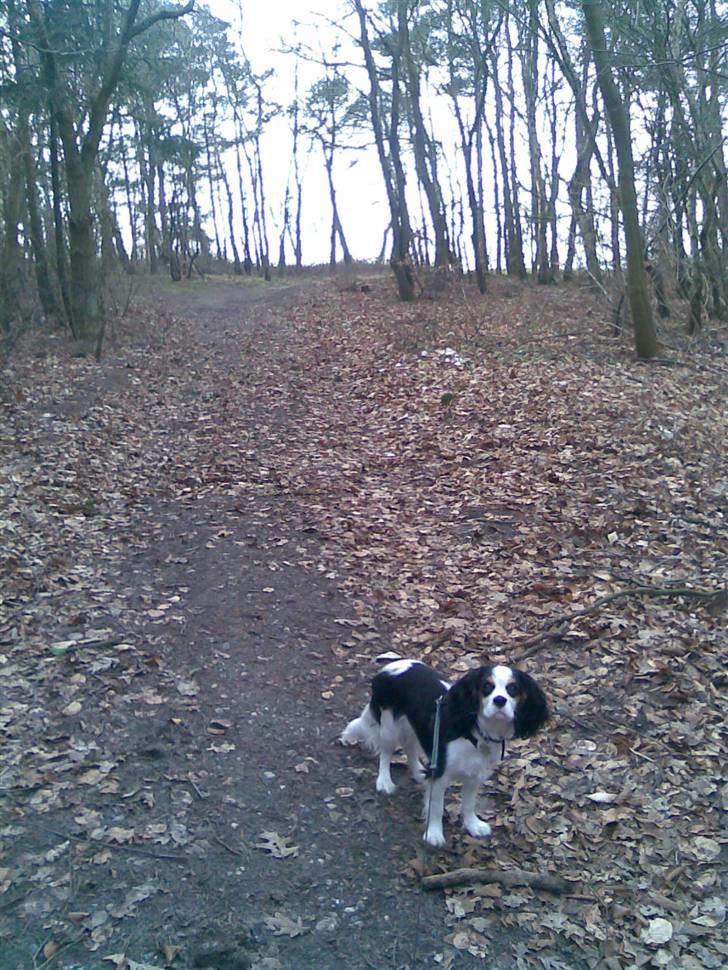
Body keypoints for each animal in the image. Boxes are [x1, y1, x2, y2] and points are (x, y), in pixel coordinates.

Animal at [342, 656, 544, 844]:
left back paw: (419, 772)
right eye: (487, 687)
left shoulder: (475, 775)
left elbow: (469, 804)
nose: (500, 700)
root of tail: (389, 667)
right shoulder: (441, 773)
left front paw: (472, 825)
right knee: (385, 753)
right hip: (389, 725)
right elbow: (437, 807)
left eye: (513, 689)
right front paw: (434, 834)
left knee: (410, 747)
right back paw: (384, 781)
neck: (476, 732)